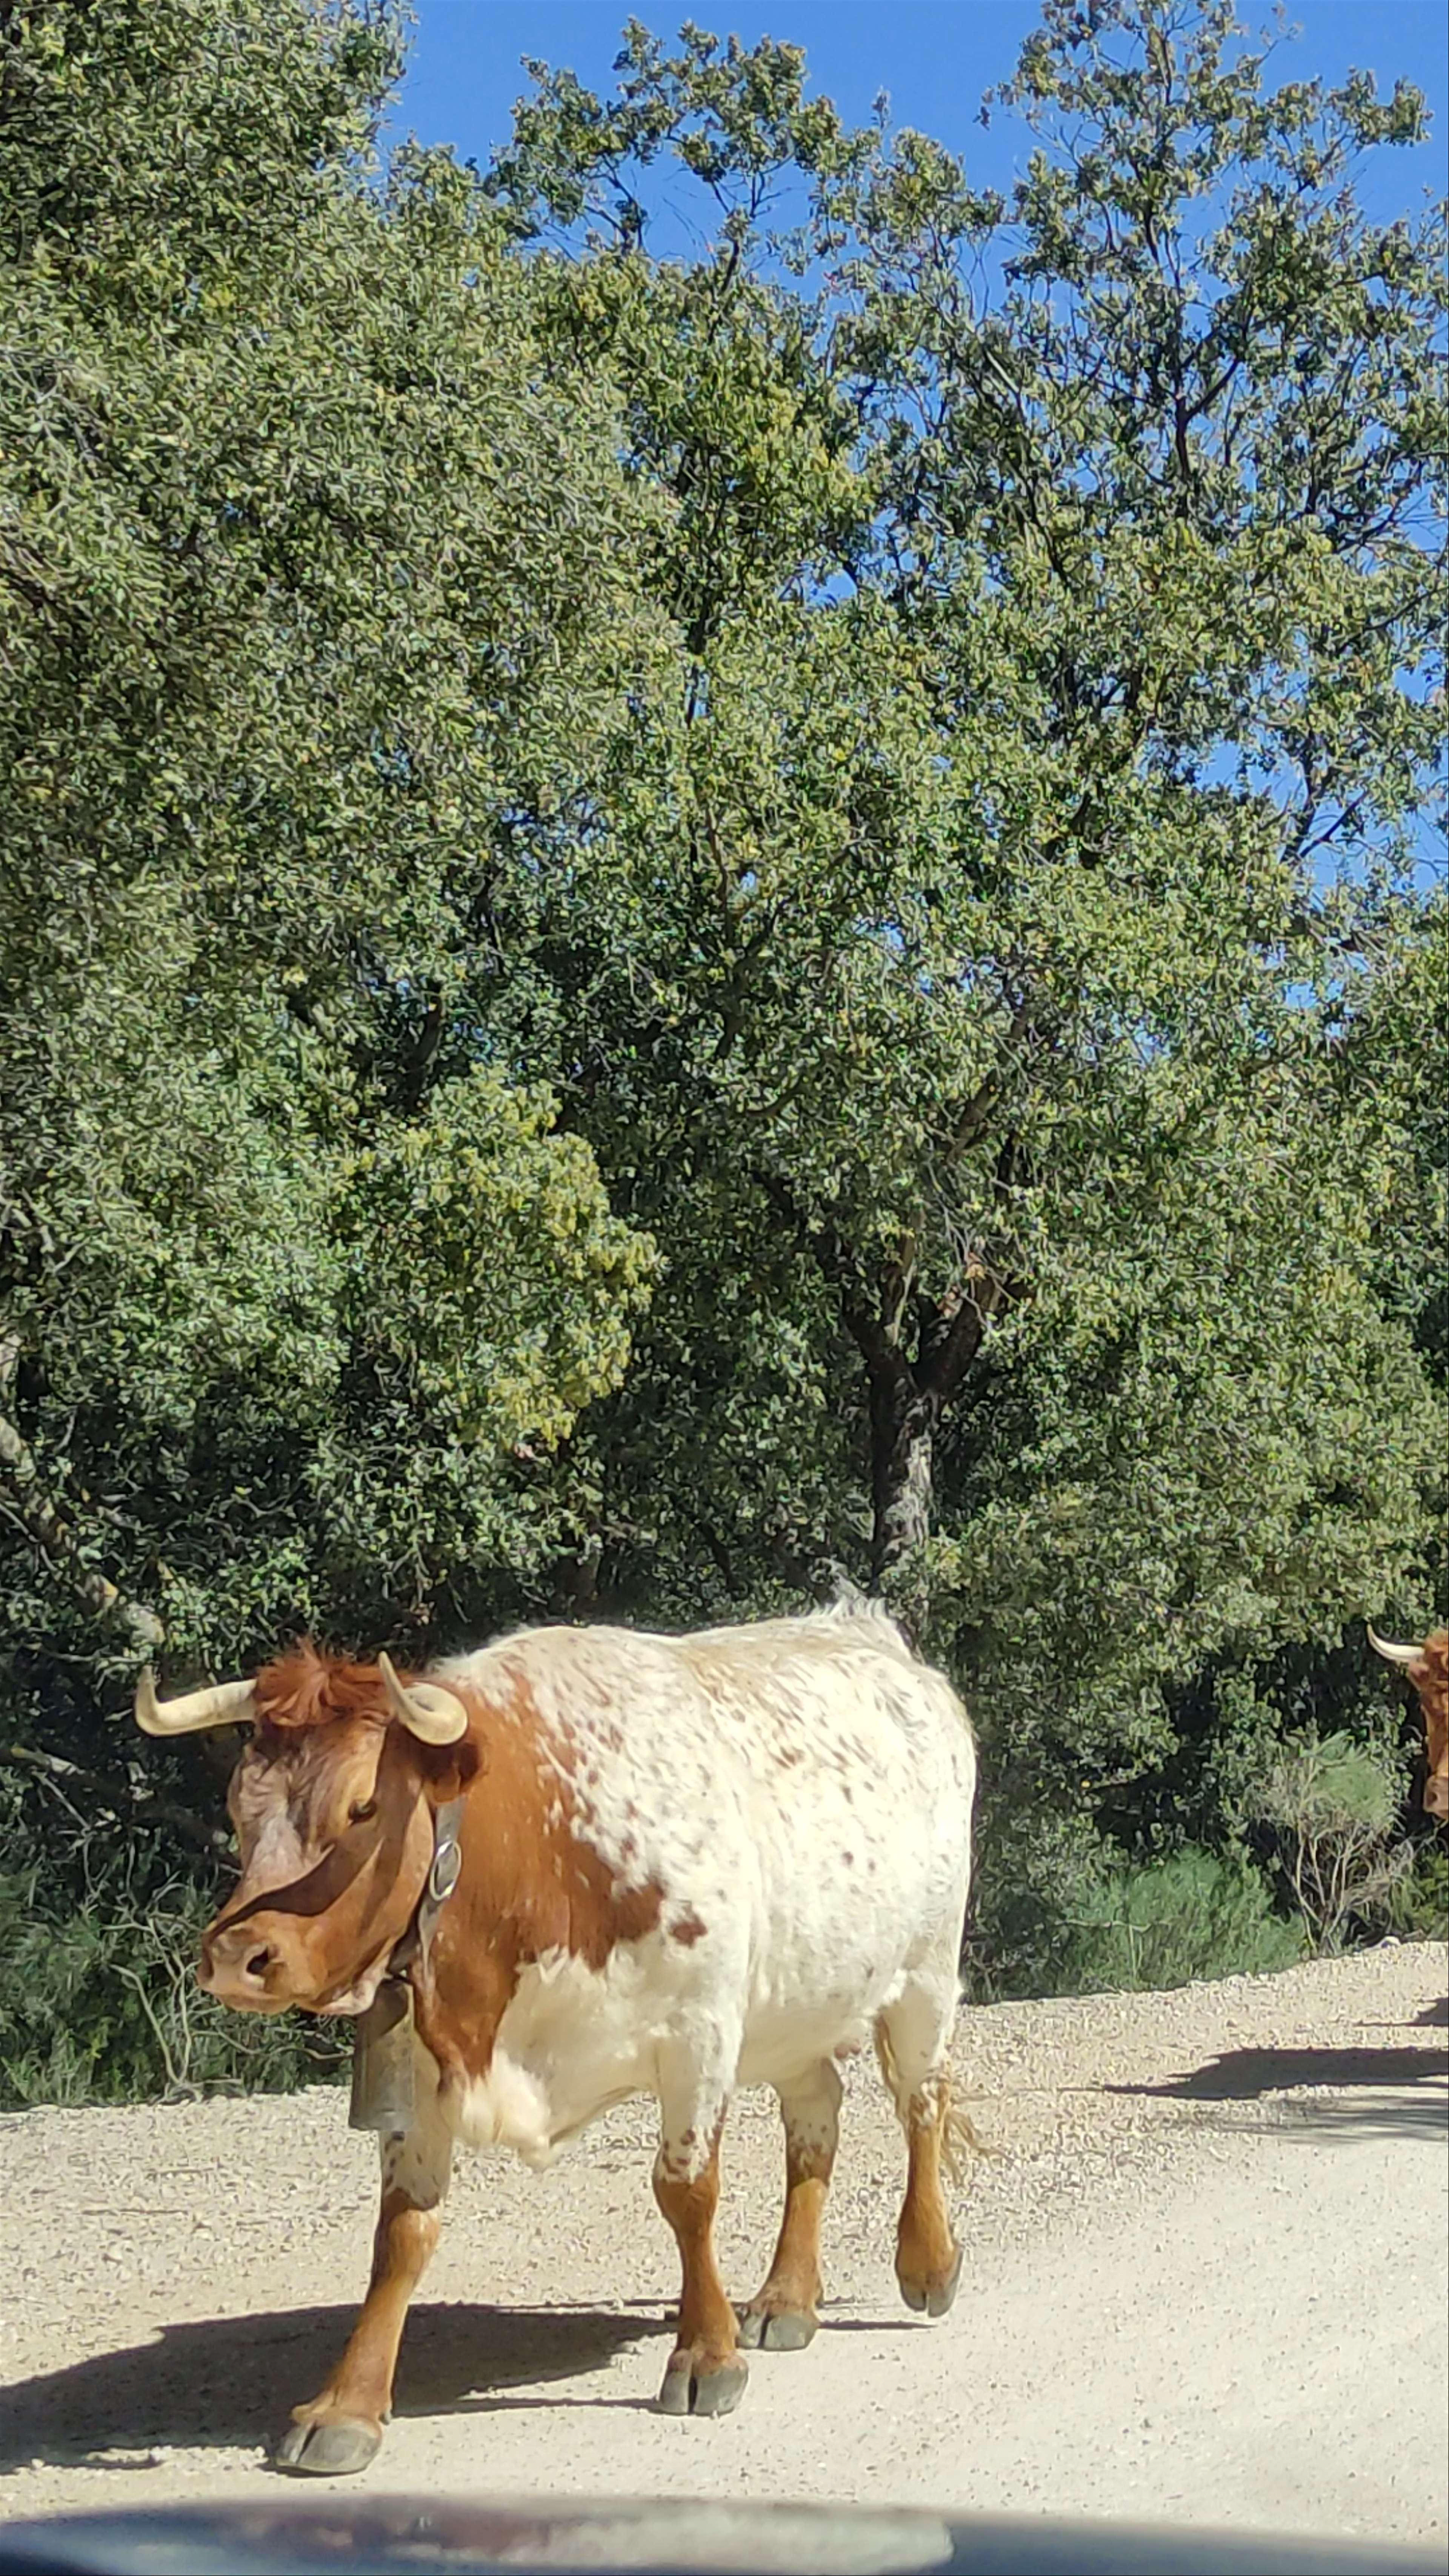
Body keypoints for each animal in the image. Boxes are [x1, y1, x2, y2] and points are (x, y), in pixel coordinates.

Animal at [134, 1604, 978, 2475]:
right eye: (240, 1805)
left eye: (363, 1805)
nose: (236, 1955)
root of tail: (866, 1630)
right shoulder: (423, 2069)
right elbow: (402, 2231)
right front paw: (347, 2404)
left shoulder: (700, 2032)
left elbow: (688, 2193)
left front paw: (704, 2355)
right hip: (798, 2001)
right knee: (816, 2115)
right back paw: (785, 2296)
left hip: (924, 1970)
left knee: (921, 2101)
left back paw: (927, 2260)